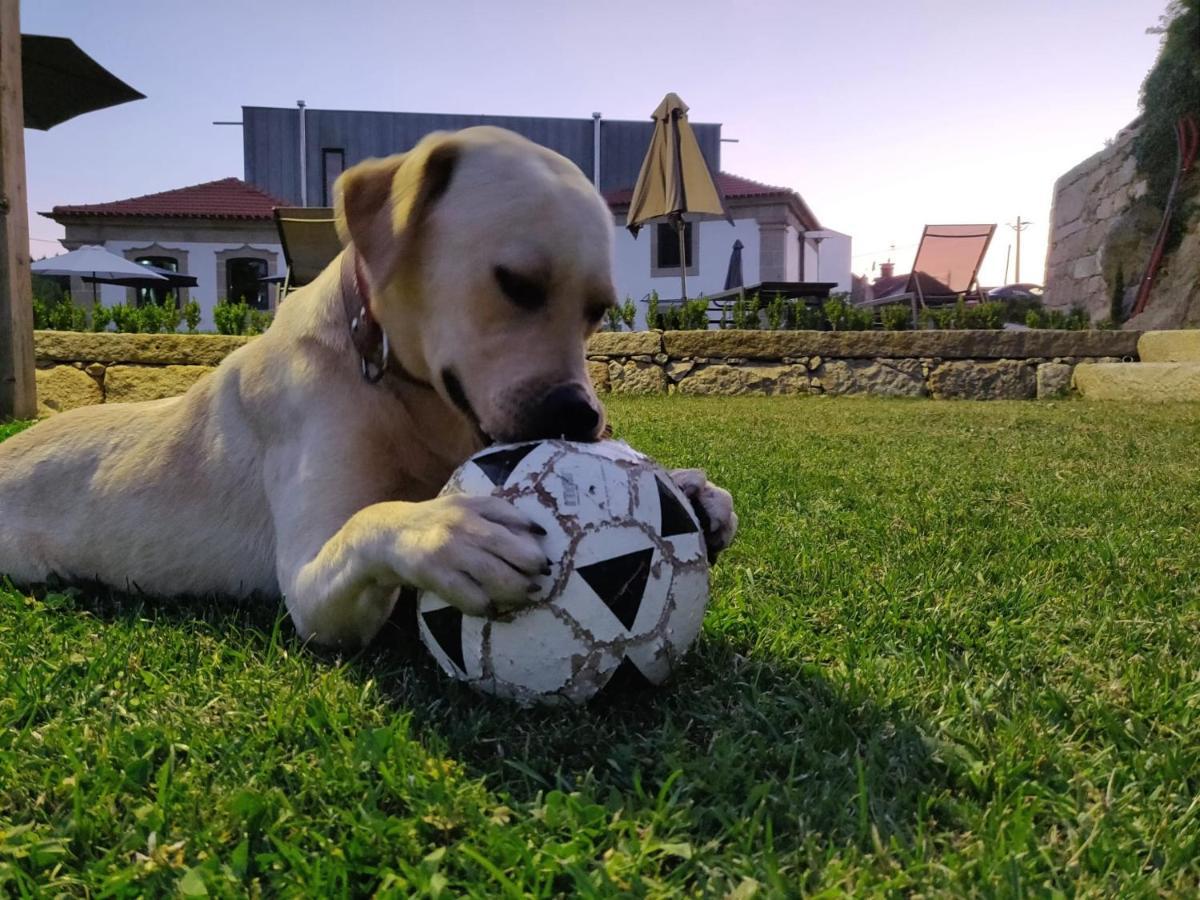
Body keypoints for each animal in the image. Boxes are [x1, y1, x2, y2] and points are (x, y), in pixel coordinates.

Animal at [0, 127, 734, 648]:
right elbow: (368, 521)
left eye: (599, 310)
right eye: (515, 284)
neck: (400, 388)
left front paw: (691, 490)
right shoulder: (308, 590)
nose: (580, 419)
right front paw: (446, 528)